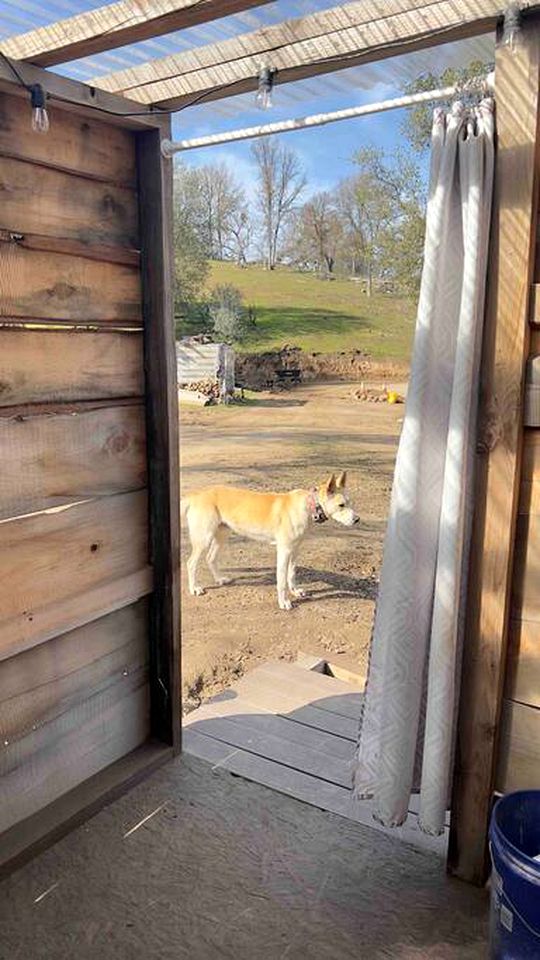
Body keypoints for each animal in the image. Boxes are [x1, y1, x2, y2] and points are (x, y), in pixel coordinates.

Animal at [180, 472, 358, 608]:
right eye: (341, 505)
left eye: (350, 503)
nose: (357, 520)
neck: (309, 506)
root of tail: (196, 494)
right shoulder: (284, 551)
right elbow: (281, 580)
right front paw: (284, 601)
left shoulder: (295, 550)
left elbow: (292, 574)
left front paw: (296, 591)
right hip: (204, 538)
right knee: (191, 563)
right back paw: (194, 588)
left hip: (222, 535)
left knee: (211, 558)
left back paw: (219, 579)